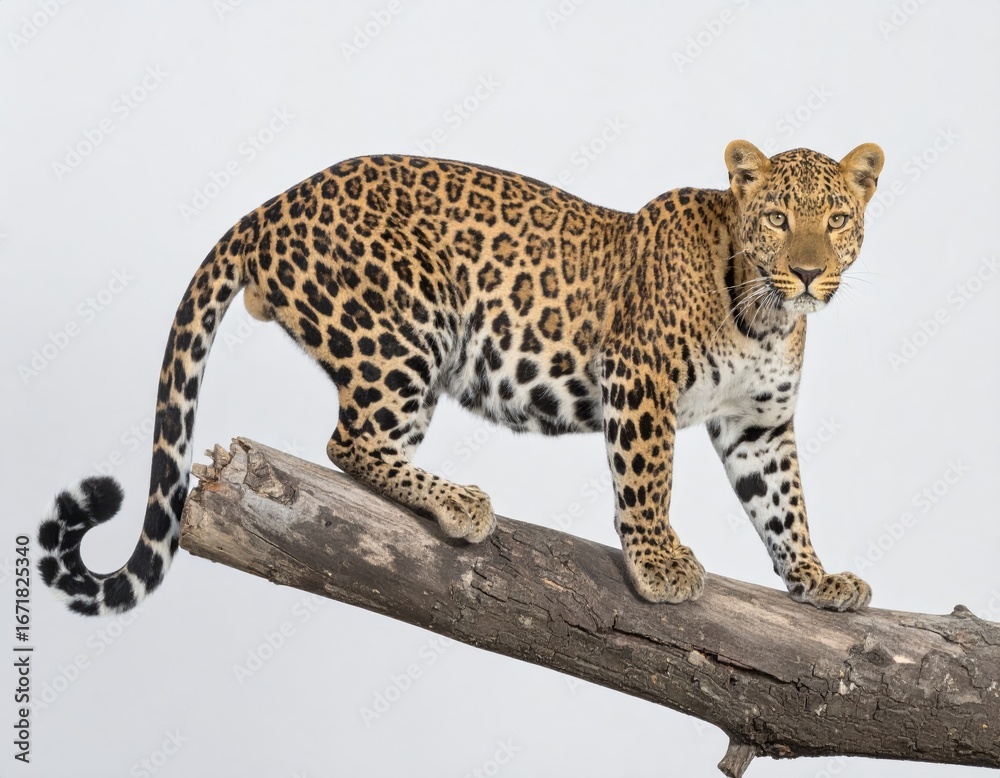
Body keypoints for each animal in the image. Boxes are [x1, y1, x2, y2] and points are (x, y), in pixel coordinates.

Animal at [37, 139, 885, 616]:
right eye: (776, 218)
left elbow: (785, 506)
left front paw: (815, 579)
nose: (808, 273)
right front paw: (659, 565)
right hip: (406, 324)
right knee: (350, 441)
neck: (764, 313)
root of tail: (271, 206)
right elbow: (649, 481)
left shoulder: (759, 425)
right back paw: (460, 502)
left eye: (837, 219)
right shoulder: (639, 383)